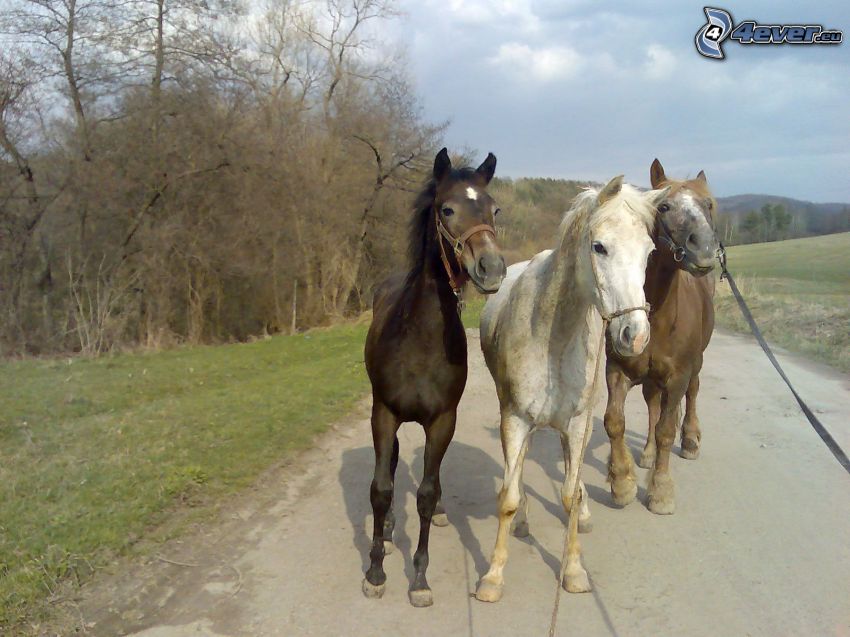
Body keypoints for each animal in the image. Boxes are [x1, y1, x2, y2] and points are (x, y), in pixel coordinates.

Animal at [360, 148, 504, 608]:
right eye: (447, 209)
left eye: (494, 209)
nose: (491, 268)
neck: (419, 339)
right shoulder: (384, 413)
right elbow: (381, 489)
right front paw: (375, 571)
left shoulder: (442, 420)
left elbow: (425, 493)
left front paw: (419, 579)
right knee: (389, 466)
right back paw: (388, 532)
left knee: (432, 480)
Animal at [474, 176, 664, 600]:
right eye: (599, 247)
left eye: (649, 252)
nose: (636, 336)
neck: (553, 337)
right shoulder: (515, 419)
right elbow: (508, 497)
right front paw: (493, 576)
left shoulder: (577, 424)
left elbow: (570, 494)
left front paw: (574, 569)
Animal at [604, 159, 716, 516]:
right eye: (663, 206)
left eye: (709, 205)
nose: (704, 250)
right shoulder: (618, 370)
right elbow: (615, 422)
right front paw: (622, 483)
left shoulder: (679, 374)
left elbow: (668, 429)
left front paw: (661, 491)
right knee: (654, 406)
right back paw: (649, 454)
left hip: (696, 365)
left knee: (690, 395)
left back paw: (690, 439)